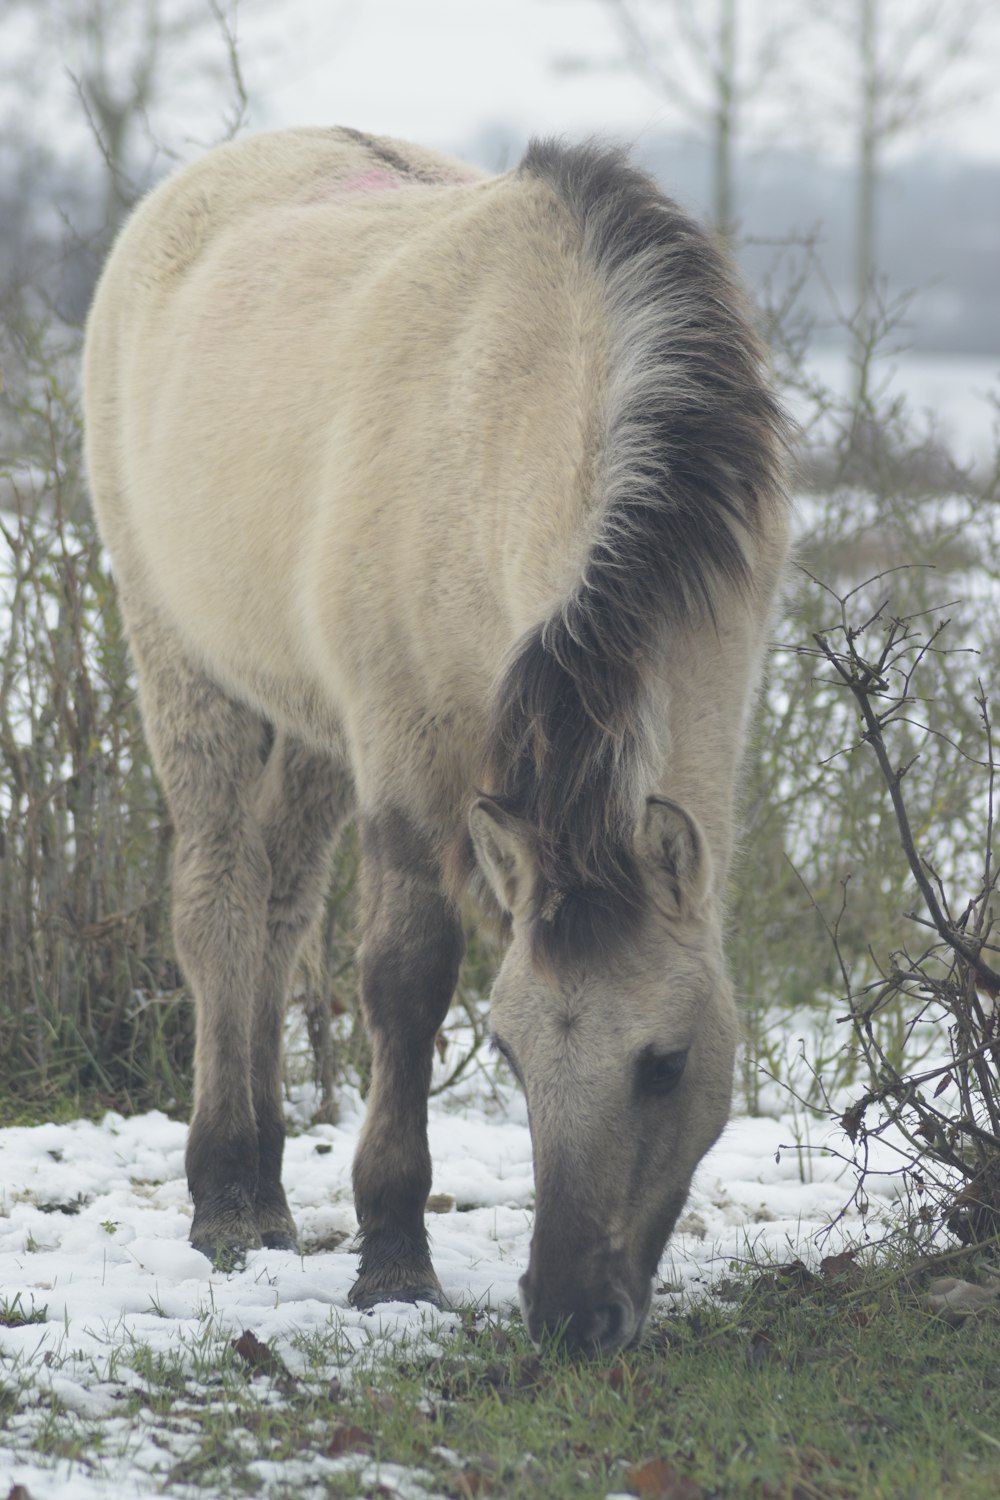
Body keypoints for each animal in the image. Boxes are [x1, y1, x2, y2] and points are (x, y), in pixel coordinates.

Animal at [82, 123, 791, 1356]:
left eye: (667, 1066)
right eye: (507, 1052)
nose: (570, 1316)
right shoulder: (406, 756)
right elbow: (405, 982)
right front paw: (394, 1261)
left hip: (310, 726)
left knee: (277, 912)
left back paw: (262, 1185)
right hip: (185, 665)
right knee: (218, 911)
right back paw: (223, 1193)